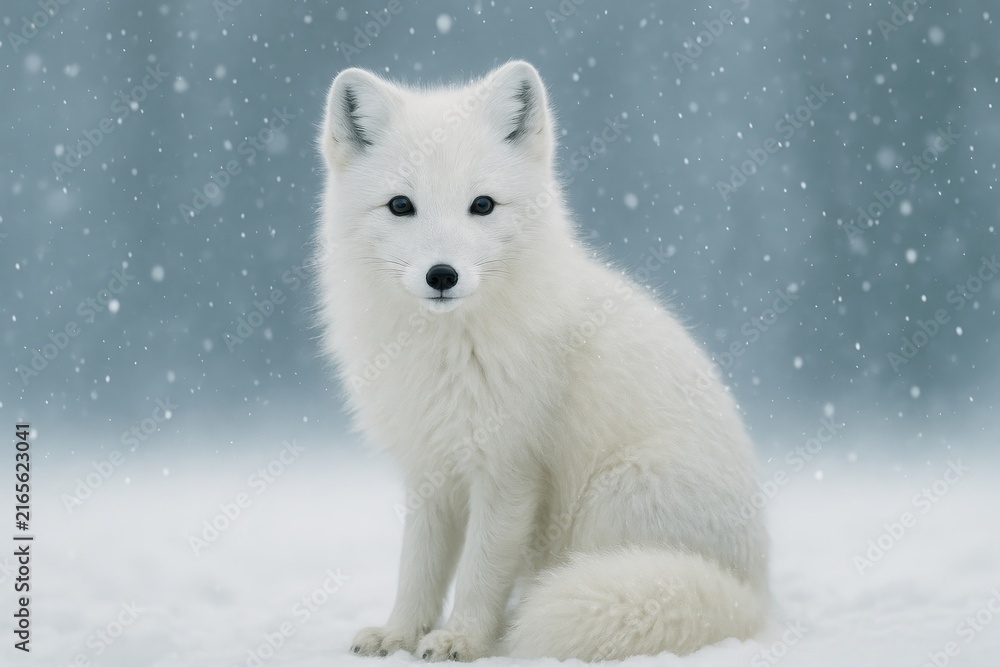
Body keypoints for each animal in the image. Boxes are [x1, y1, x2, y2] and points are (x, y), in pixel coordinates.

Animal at [314, 60, 769, 661]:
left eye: (482, 204)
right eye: (400, 205)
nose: (442, 275)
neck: (448, 352)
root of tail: (753, 595)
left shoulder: (509, 470)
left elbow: (480, 572)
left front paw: (462, 639)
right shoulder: (430, 467)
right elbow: (418, 567)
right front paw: (400, 635)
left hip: (610, 501)